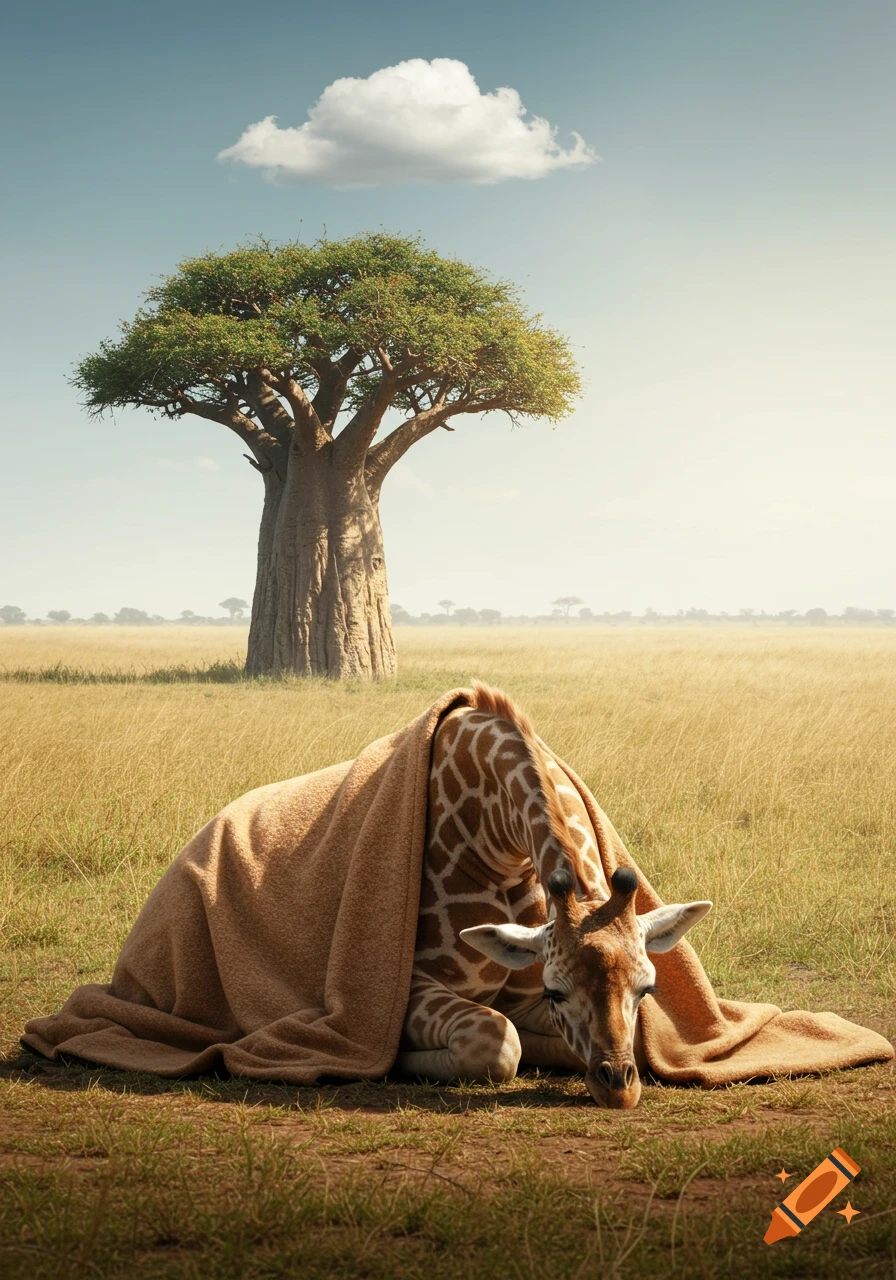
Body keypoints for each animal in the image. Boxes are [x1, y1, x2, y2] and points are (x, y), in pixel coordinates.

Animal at [397, 684, 712, 1108]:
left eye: (648, 989)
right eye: (556, 992)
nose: (619, 1090)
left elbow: (634, 1046)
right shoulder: (412, 984)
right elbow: (495, 1041)